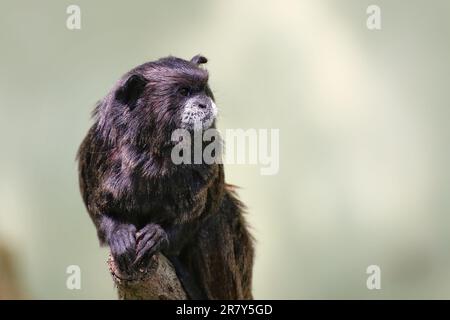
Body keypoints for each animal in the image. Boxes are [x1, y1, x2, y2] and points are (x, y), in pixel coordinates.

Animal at [77, 55, 253, 300]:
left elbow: (199, 214)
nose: (204, 103)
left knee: (218, 215)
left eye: (203, 89)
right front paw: (119, 234)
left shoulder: (209, 164)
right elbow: (97, 207)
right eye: (184, 91)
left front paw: (158, 236)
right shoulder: (97, 146)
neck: (154, 151)